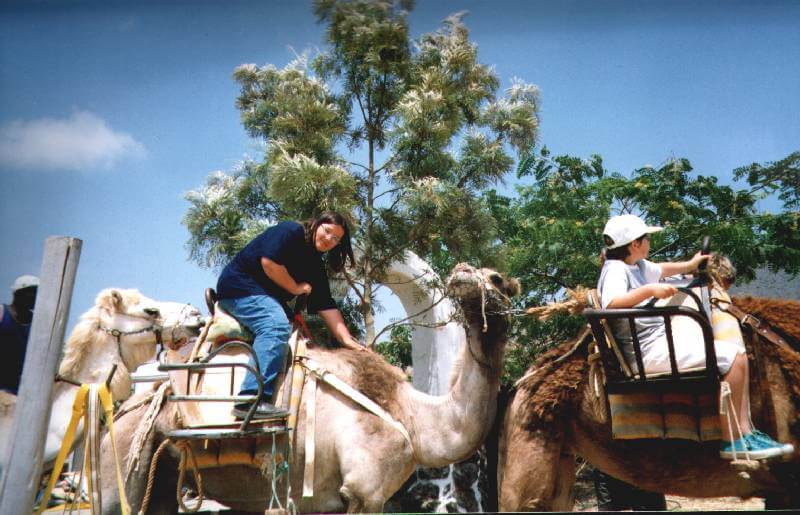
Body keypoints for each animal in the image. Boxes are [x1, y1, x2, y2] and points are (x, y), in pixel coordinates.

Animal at [99, 263, 520, 513]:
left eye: (497, 279)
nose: (462, 271)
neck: (413, 419)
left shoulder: (329, 498)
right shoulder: (365, 491)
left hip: (163, 479)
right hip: (121, 467)